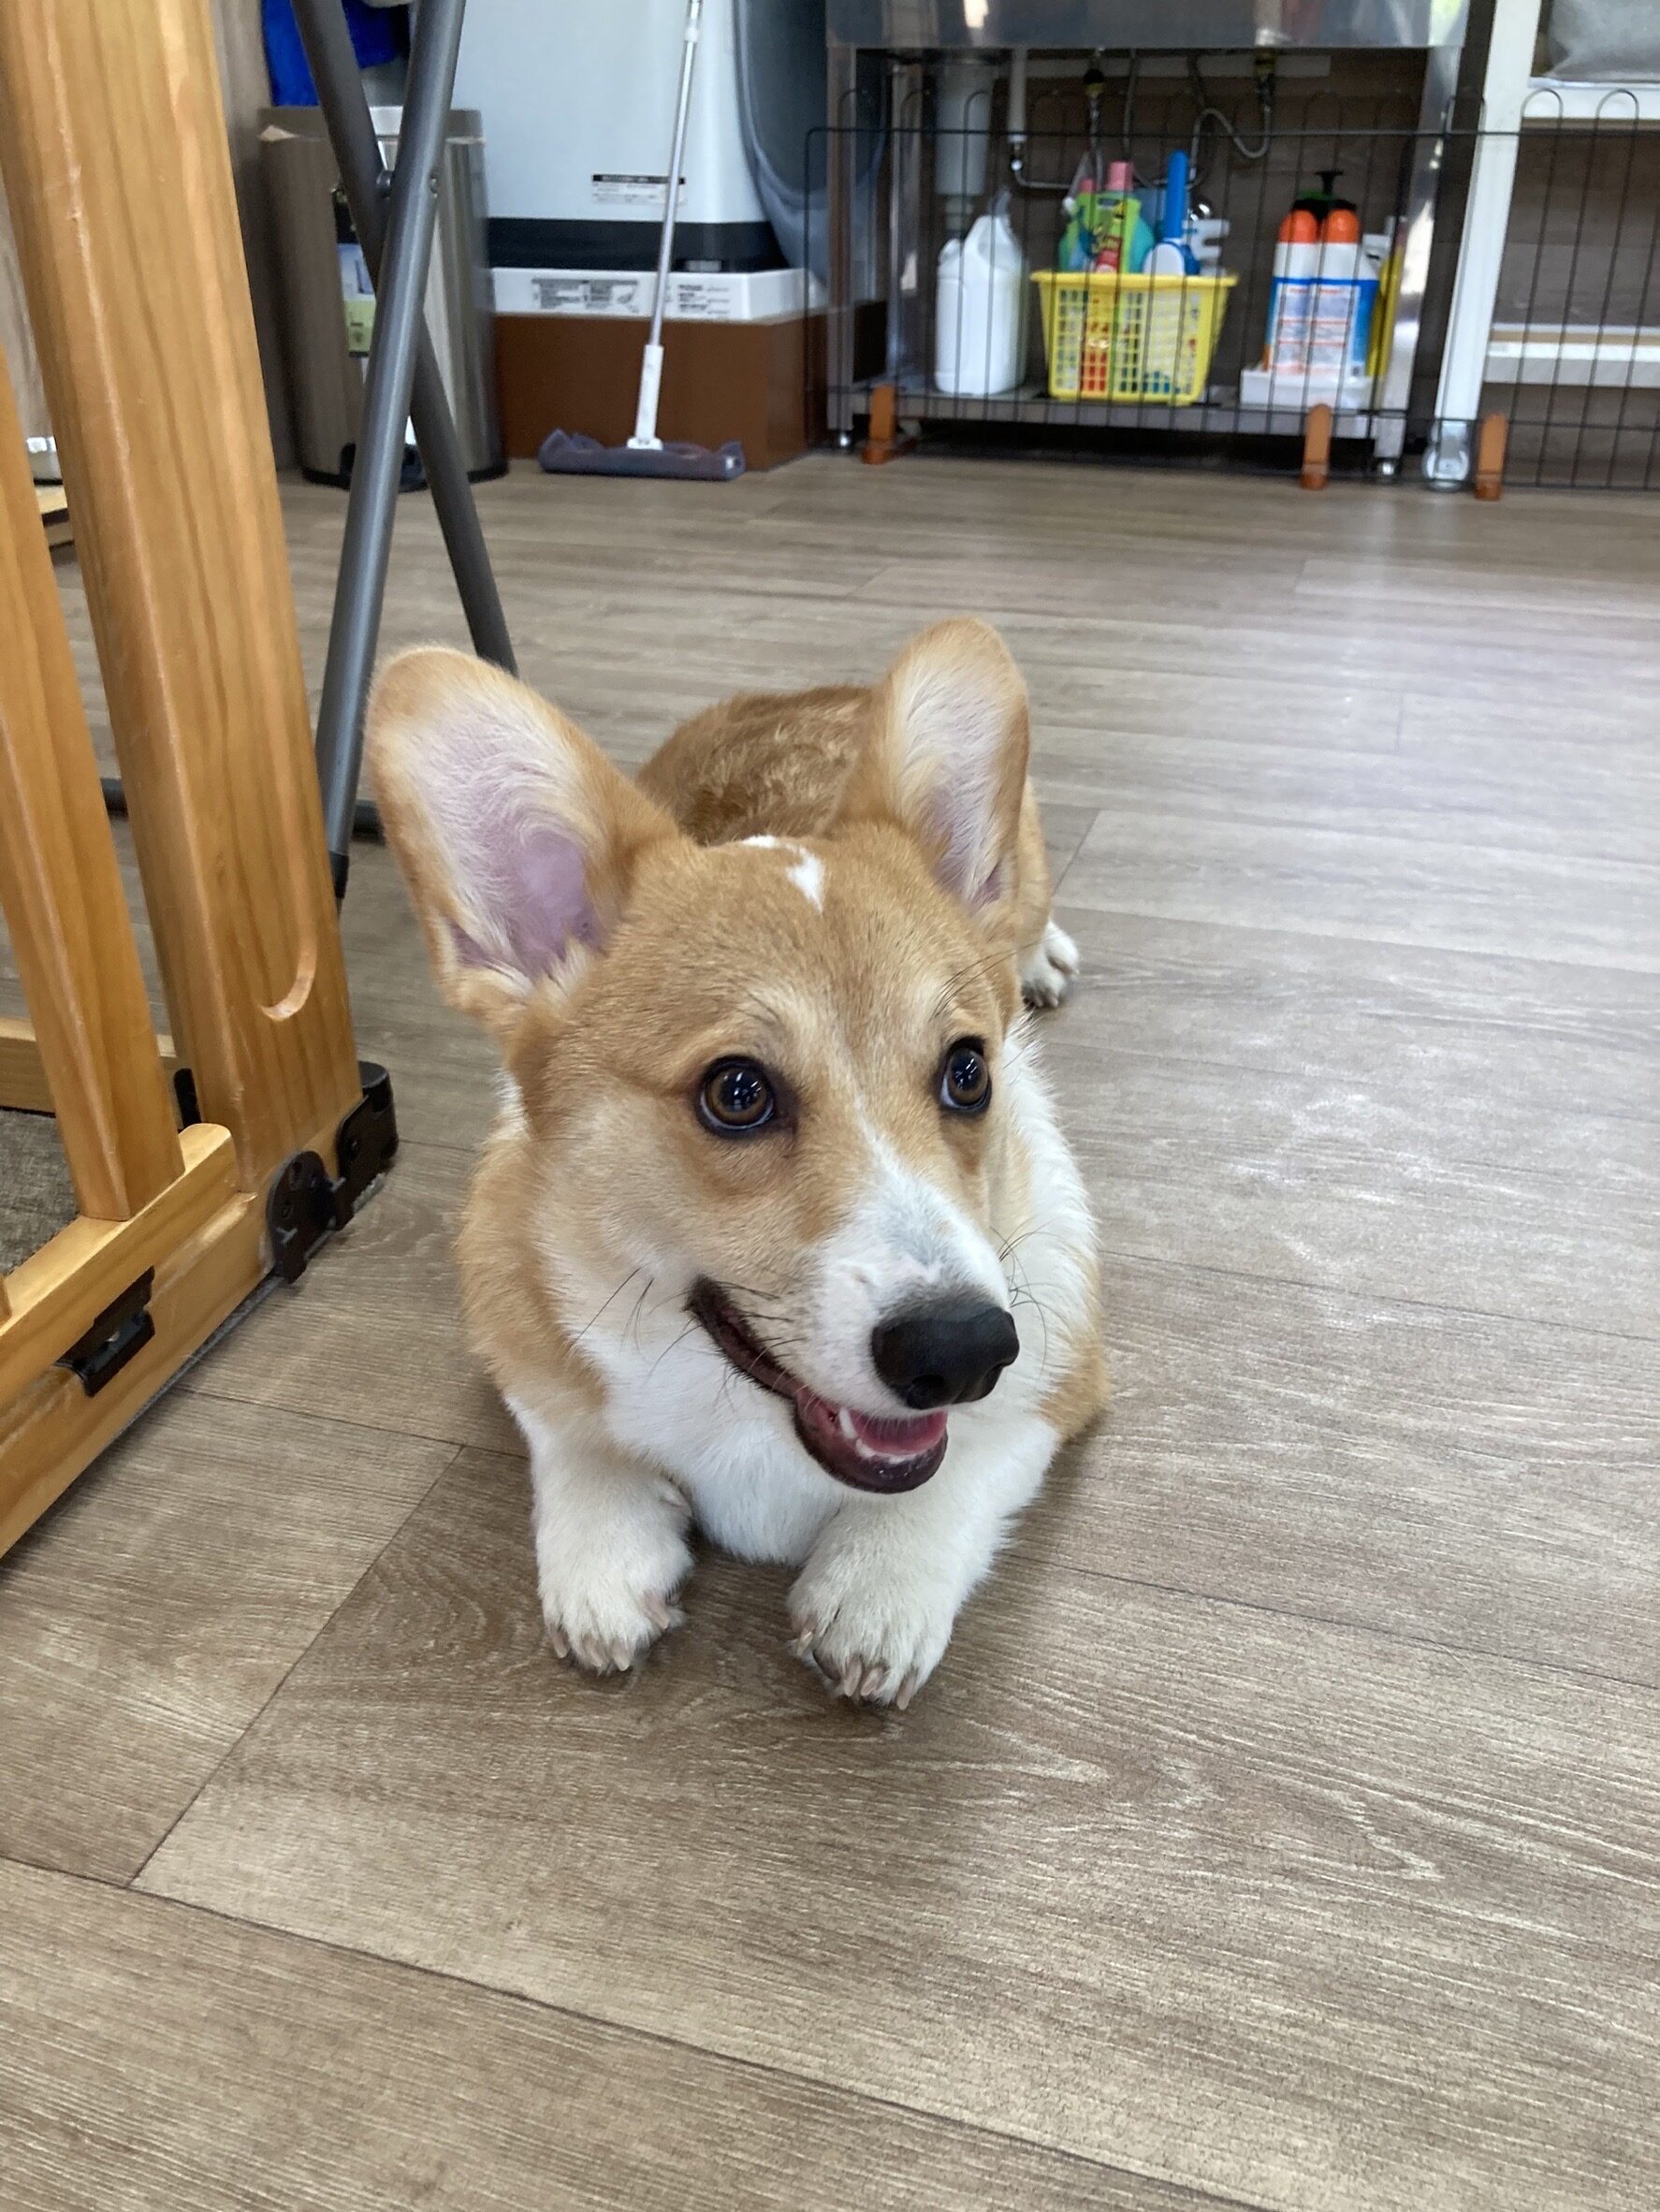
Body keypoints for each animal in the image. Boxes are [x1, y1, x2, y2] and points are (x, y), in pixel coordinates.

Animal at [367, 618, 1105, 1707]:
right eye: (738, 1093)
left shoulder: (1060, 1370)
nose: (964, 1349)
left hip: (1029, 861)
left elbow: (970, 1460)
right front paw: (604, 1556)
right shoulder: (519, 1339)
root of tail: (814, 688)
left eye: (969, 1072)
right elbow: (575, 1435)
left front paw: (879, 1580)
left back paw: (1042, 953)